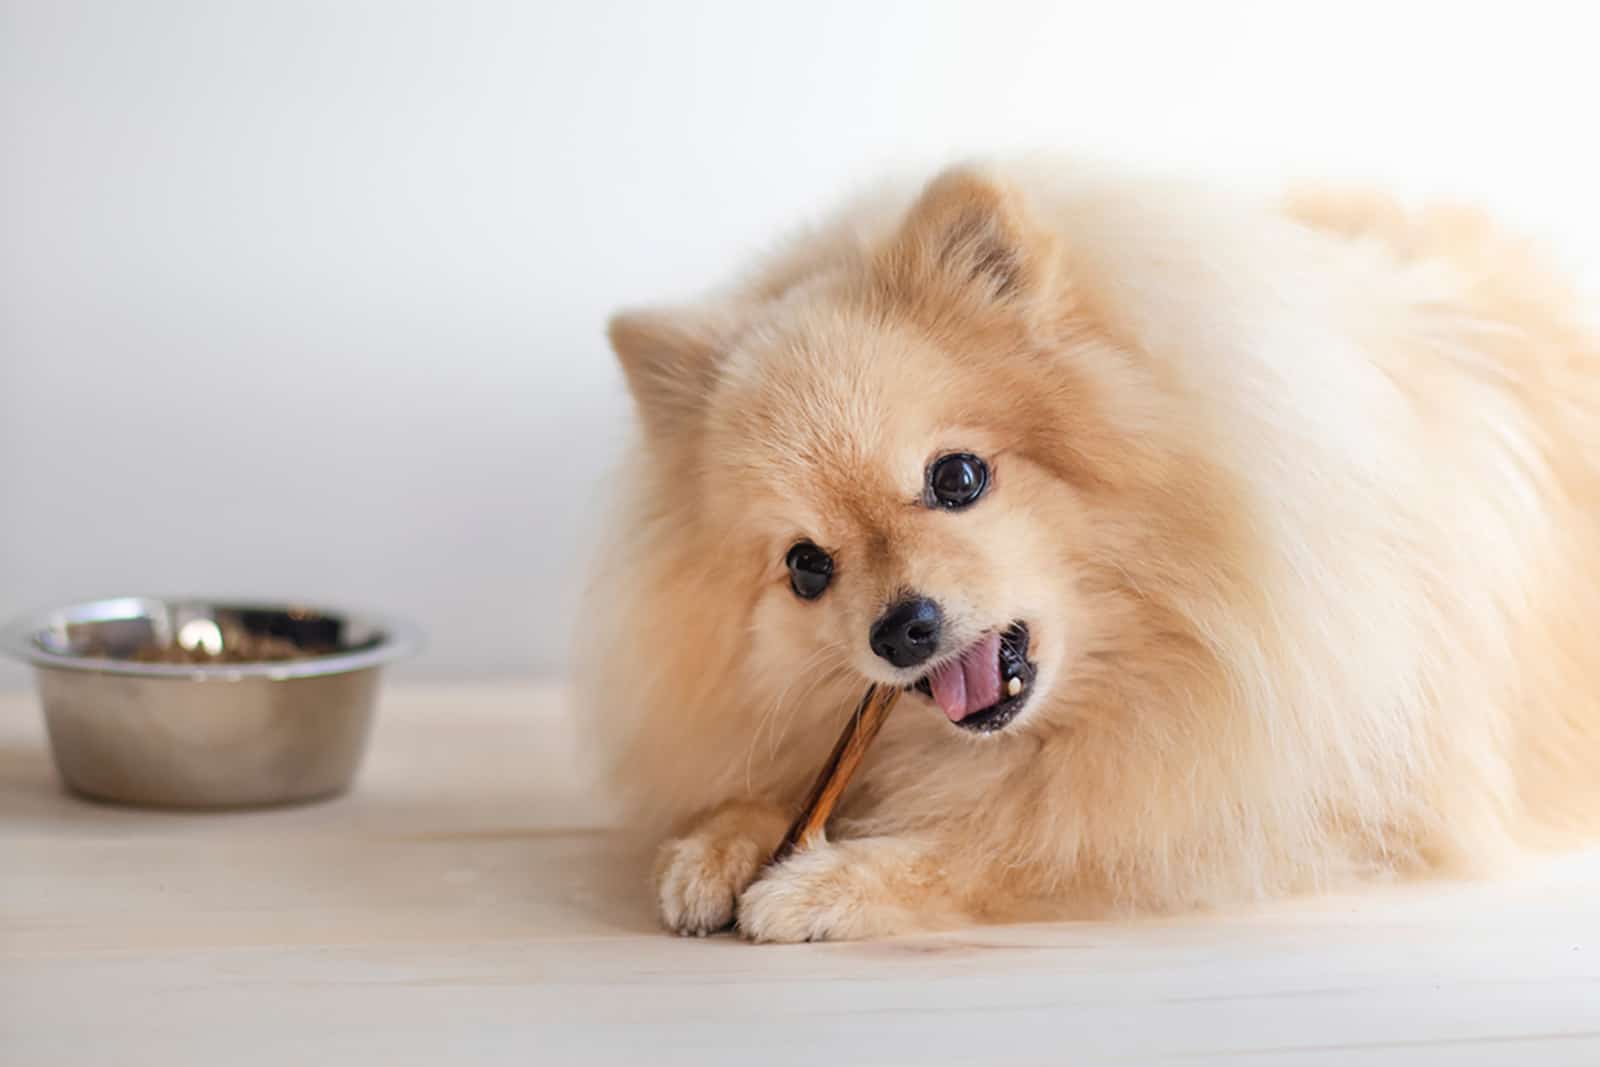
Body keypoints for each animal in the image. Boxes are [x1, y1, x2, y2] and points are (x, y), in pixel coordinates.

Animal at [576, 156, 1600, 940]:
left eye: (957, 477)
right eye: (805, 566)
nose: (902, 628)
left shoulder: (1307, 804)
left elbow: (1029, 839)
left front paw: (829, 882)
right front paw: (720, 840)